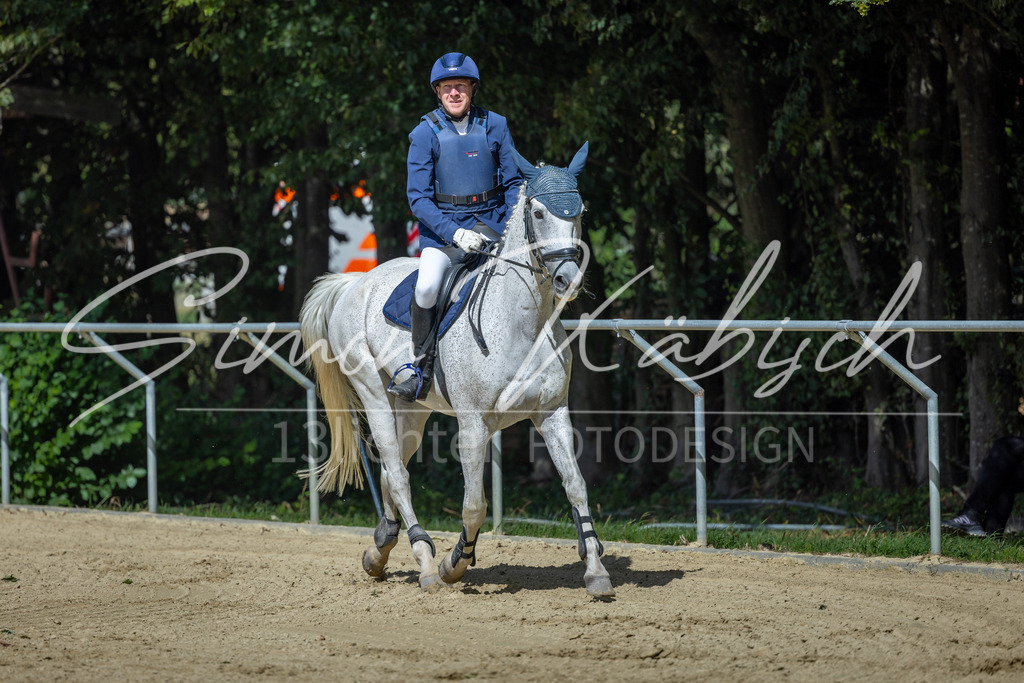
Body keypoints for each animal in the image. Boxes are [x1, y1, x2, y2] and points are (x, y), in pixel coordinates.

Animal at [298, 142, 614, 598]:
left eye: (581, 211)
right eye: (538, 213)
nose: (568, 280)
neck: (522, 323)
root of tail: (355, 282)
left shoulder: (551, 413)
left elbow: (576, 486)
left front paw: (595, 570)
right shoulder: (473, 423)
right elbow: (474, 506)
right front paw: (455, 563)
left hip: (413, 408)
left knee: (393, 471)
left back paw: (380, 550)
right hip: (374, 394)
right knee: (397, 473)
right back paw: (426, 562)